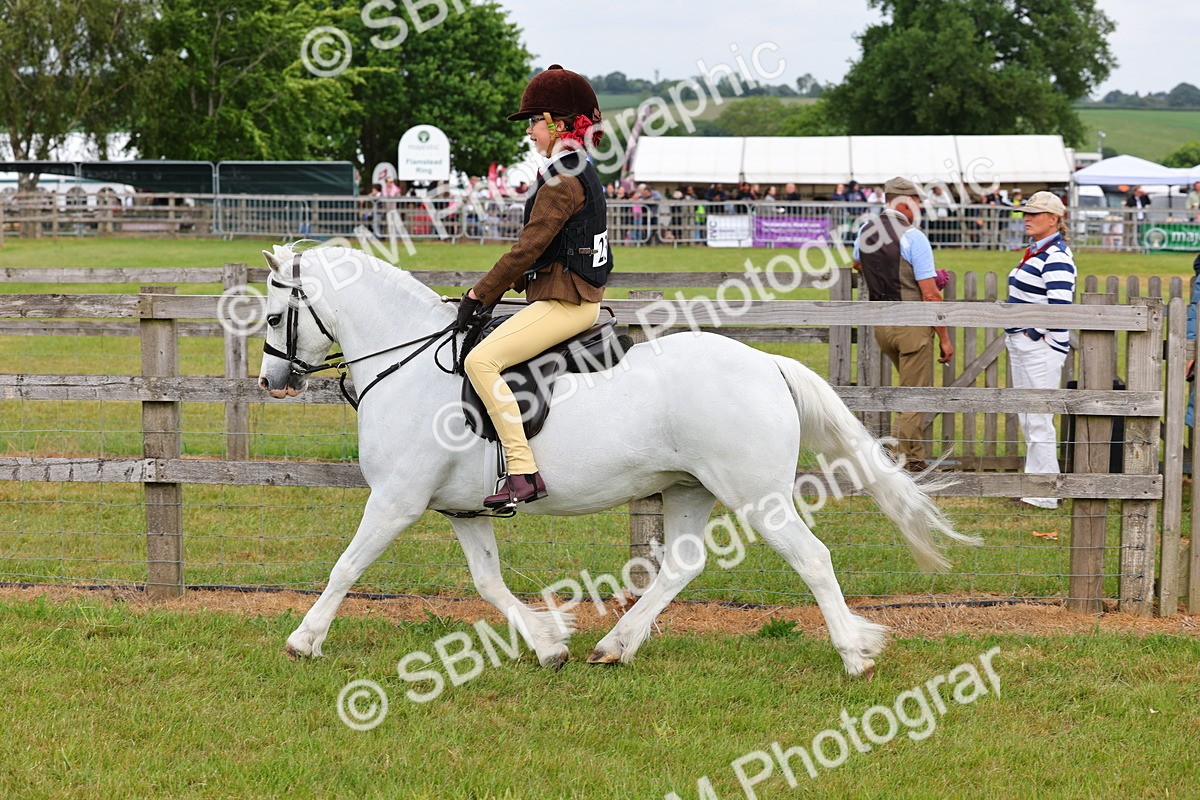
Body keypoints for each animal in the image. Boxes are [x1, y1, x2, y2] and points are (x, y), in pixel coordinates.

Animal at [257, 243, 978, 677]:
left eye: (269, 316)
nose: (271, 381)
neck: (405, 364)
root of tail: (768, 363)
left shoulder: (396, 501)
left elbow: (346, 567)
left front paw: (303, 640)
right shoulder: (464, 511)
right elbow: (489, 583)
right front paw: (548, 643)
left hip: (759, 497)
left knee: (814, 559)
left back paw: (855, 654)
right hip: (689, 489)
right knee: (681, 566)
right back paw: (615, 645)